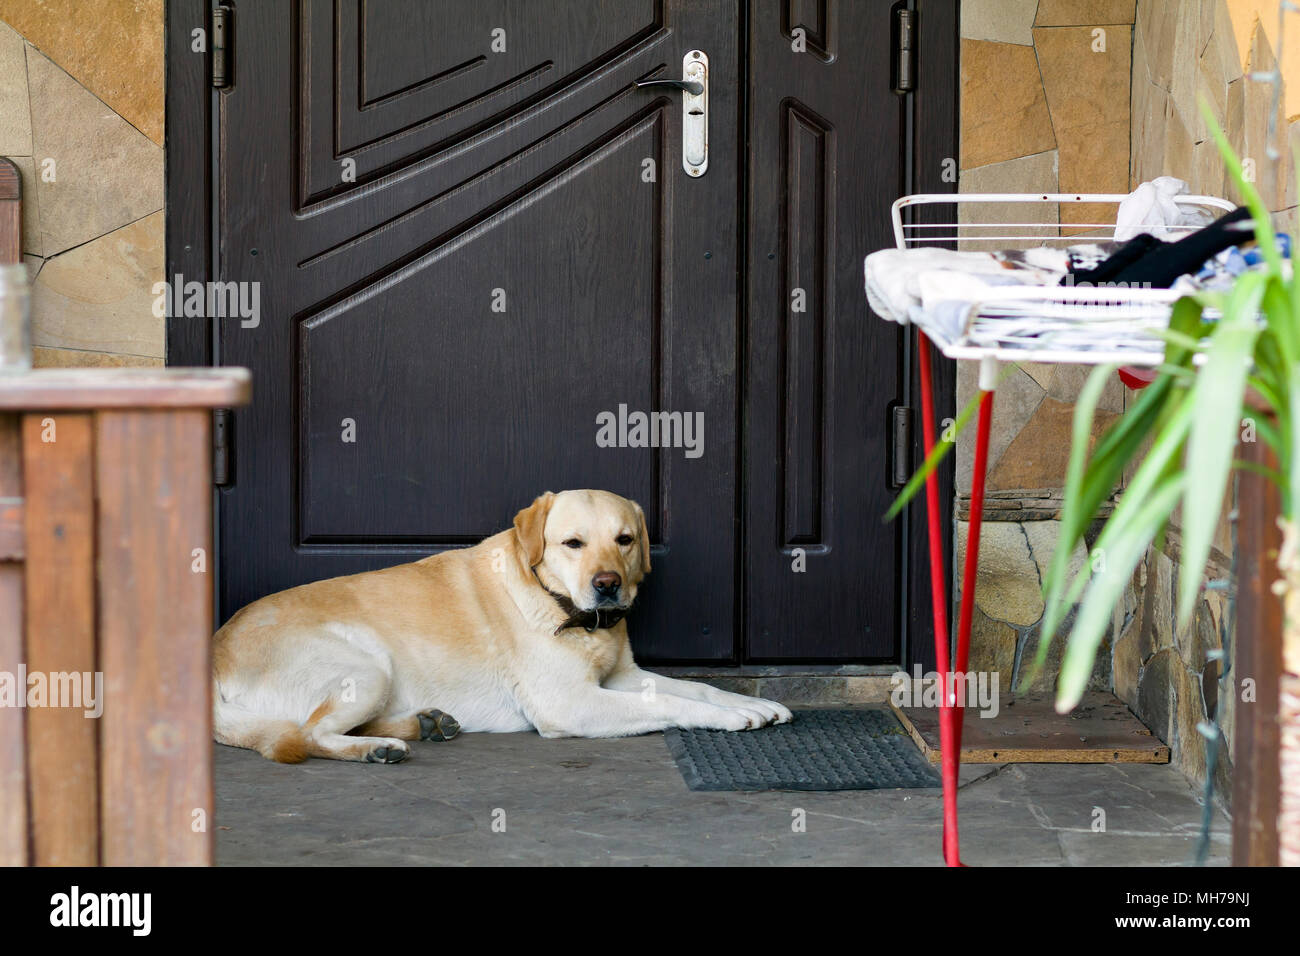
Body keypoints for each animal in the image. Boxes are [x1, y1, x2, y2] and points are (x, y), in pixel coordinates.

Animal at [210, 489, 790, 764]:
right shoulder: (571, 703)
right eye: (572, 543)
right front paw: (730, 717)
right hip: (367, 664)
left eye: (625, 540)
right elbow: (670, 702)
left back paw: (423, 725)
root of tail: (213, 654)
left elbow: (696, 686)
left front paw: (751, 704)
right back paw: (378, 748)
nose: (607, 584)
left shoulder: (623, 677)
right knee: (307, 733)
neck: (565, 610)